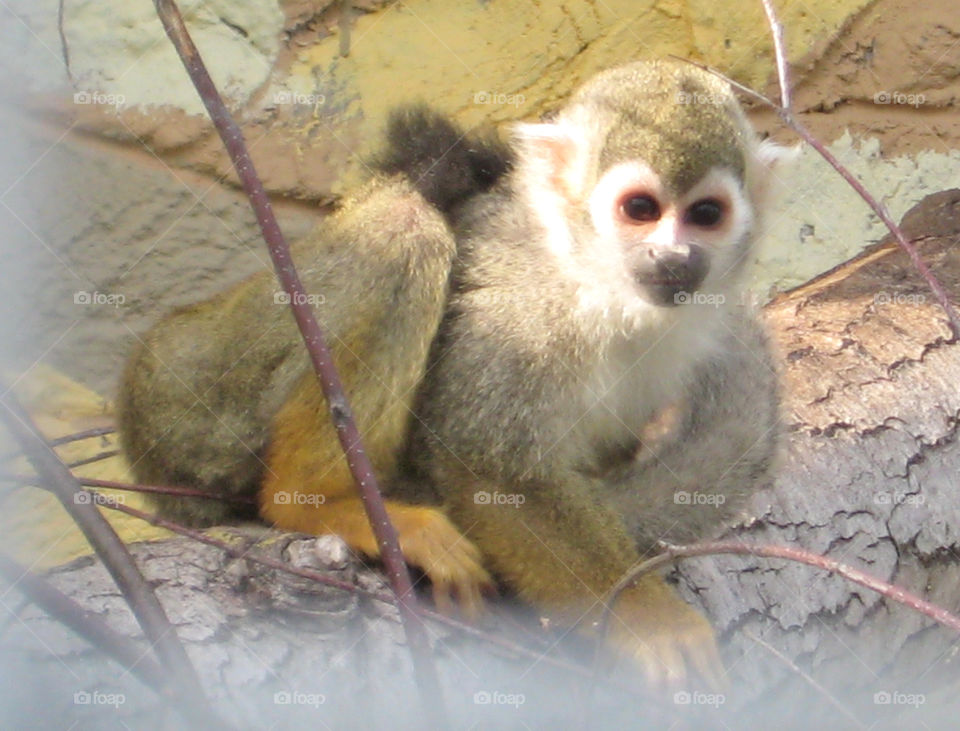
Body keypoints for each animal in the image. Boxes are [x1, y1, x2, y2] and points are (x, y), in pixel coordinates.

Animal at [117, 59, 783, 688]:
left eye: (706, 214)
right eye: (640, 209)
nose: (673, 257)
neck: (595, 277)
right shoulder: (524, 309)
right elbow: (489, 464)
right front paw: (648, 617)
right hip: (206, 385)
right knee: (403, 226)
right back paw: (316, 500)